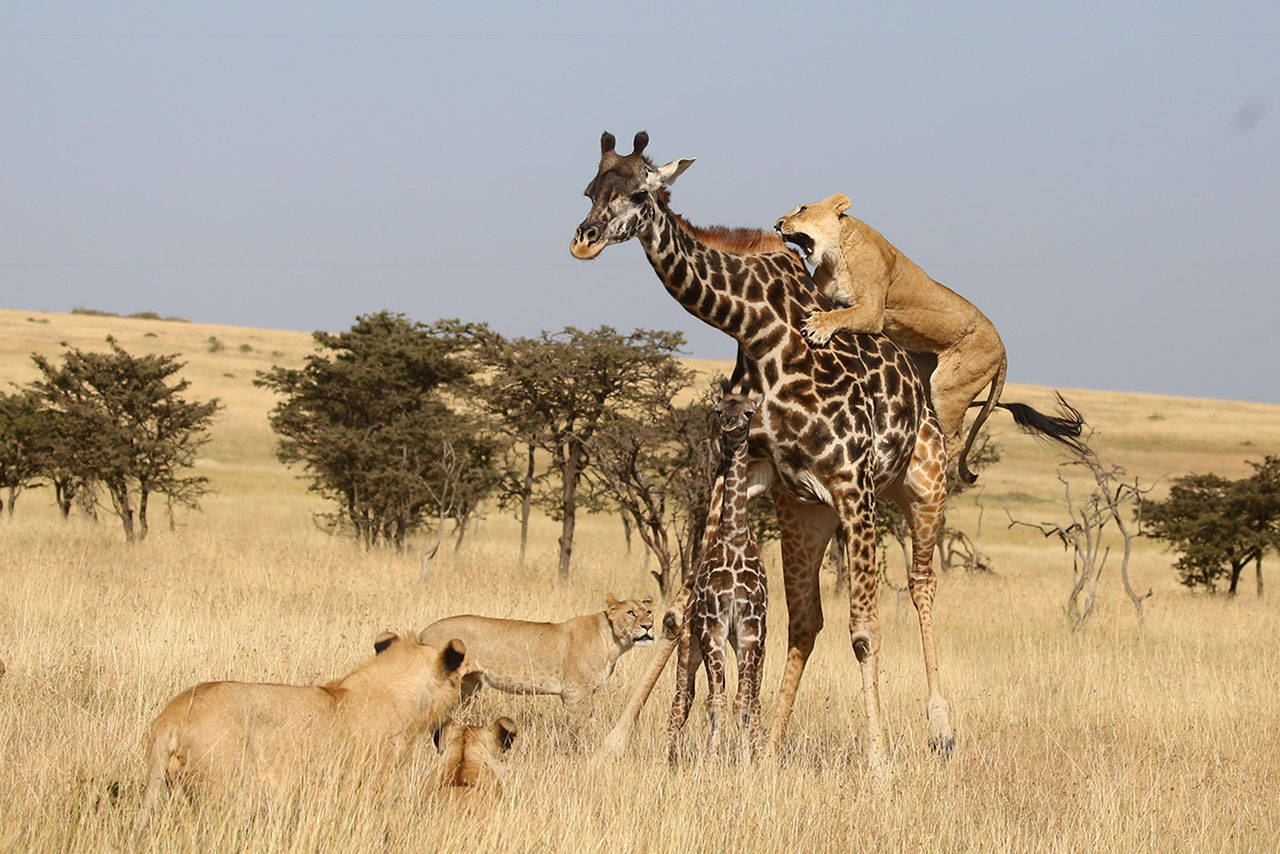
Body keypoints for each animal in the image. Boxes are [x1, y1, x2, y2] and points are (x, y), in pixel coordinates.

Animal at [670, 386, 768, 763]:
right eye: (718, 409)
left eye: (748, 412)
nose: (729, 424)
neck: (734, 538)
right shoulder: (713, 626)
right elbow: (716, 702)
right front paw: (713, 761)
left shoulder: (750, 629)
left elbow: (743, 702)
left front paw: (747, 761)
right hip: (688, 647)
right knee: (681, 702)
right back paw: (670, 758)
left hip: (752, 646)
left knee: (754, 699)